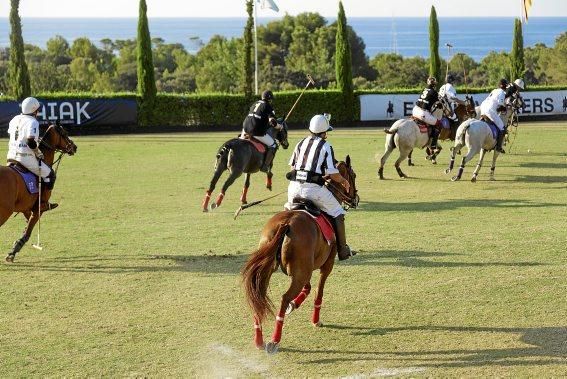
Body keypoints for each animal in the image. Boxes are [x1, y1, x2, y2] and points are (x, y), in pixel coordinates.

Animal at [1, 123, 77, 262]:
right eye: (64, 133)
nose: (74, 147)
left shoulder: (26, 208)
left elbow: (27, 226)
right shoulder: (38, 208)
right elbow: (28, 232)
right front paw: (13, 252)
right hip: (5, 211)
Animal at [241, 156, 360, 354]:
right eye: (353, 175)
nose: (355, 199)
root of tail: (286, 224)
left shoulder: (305, 268)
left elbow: (308, 288)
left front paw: (295, 305)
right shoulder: (325, 265)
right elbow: (318, 290)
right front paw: (315, 320)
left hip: (273, 267)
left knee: (259, 294)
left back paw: (259, 340)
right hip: (301, 271)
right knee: (284, 297)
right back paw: (274, 340)